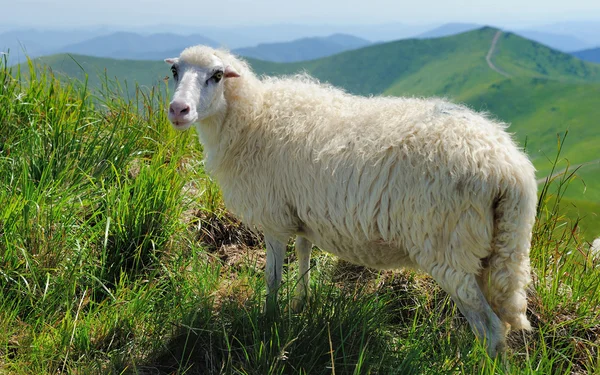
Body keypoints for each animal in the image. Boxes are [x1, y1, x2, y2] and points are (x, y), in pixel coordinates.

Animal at [165, 45, 540, 356]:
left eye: (216, 75)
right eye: (174, 72)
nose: (178, 110)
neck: (251, 118)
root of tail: (509, 169)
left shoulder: (273, 219)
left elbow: (272, 278)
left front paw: (267, 321)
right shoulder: (300, 214)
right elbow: (304, 257)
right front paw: (301, 304)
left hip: (449, 248)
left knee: (491, 329)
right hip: (492, 250)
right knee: (497, 320)